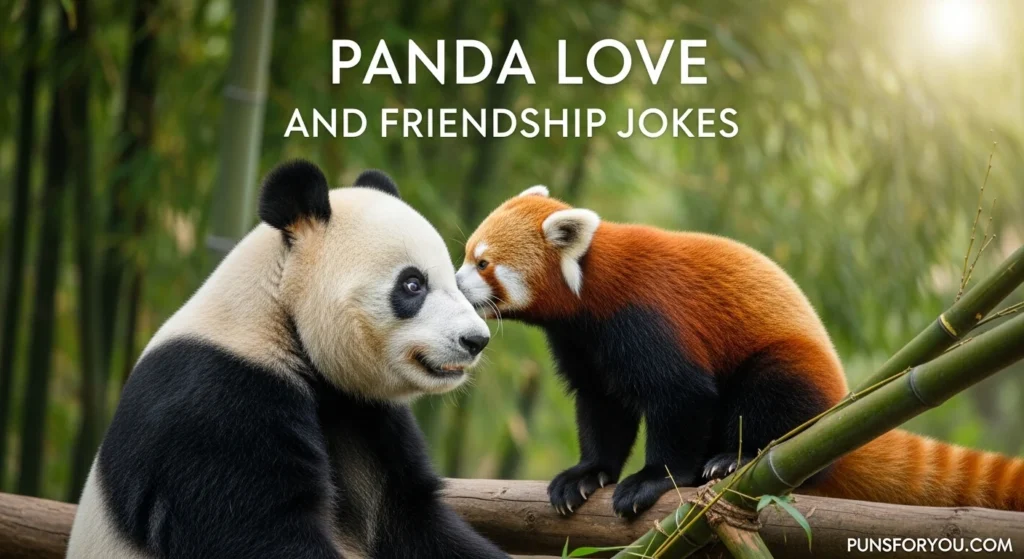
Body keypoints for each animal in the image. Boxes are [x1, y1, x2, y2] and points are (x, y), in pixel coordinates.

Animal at [66, 161, 508, 559]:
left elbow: (409, 520)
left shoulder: (363, 413)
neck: (279, 314)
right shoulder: (216, 402)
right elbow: (257, 531)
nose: (476, 340)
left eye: (456, 280)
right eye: (413, 284)